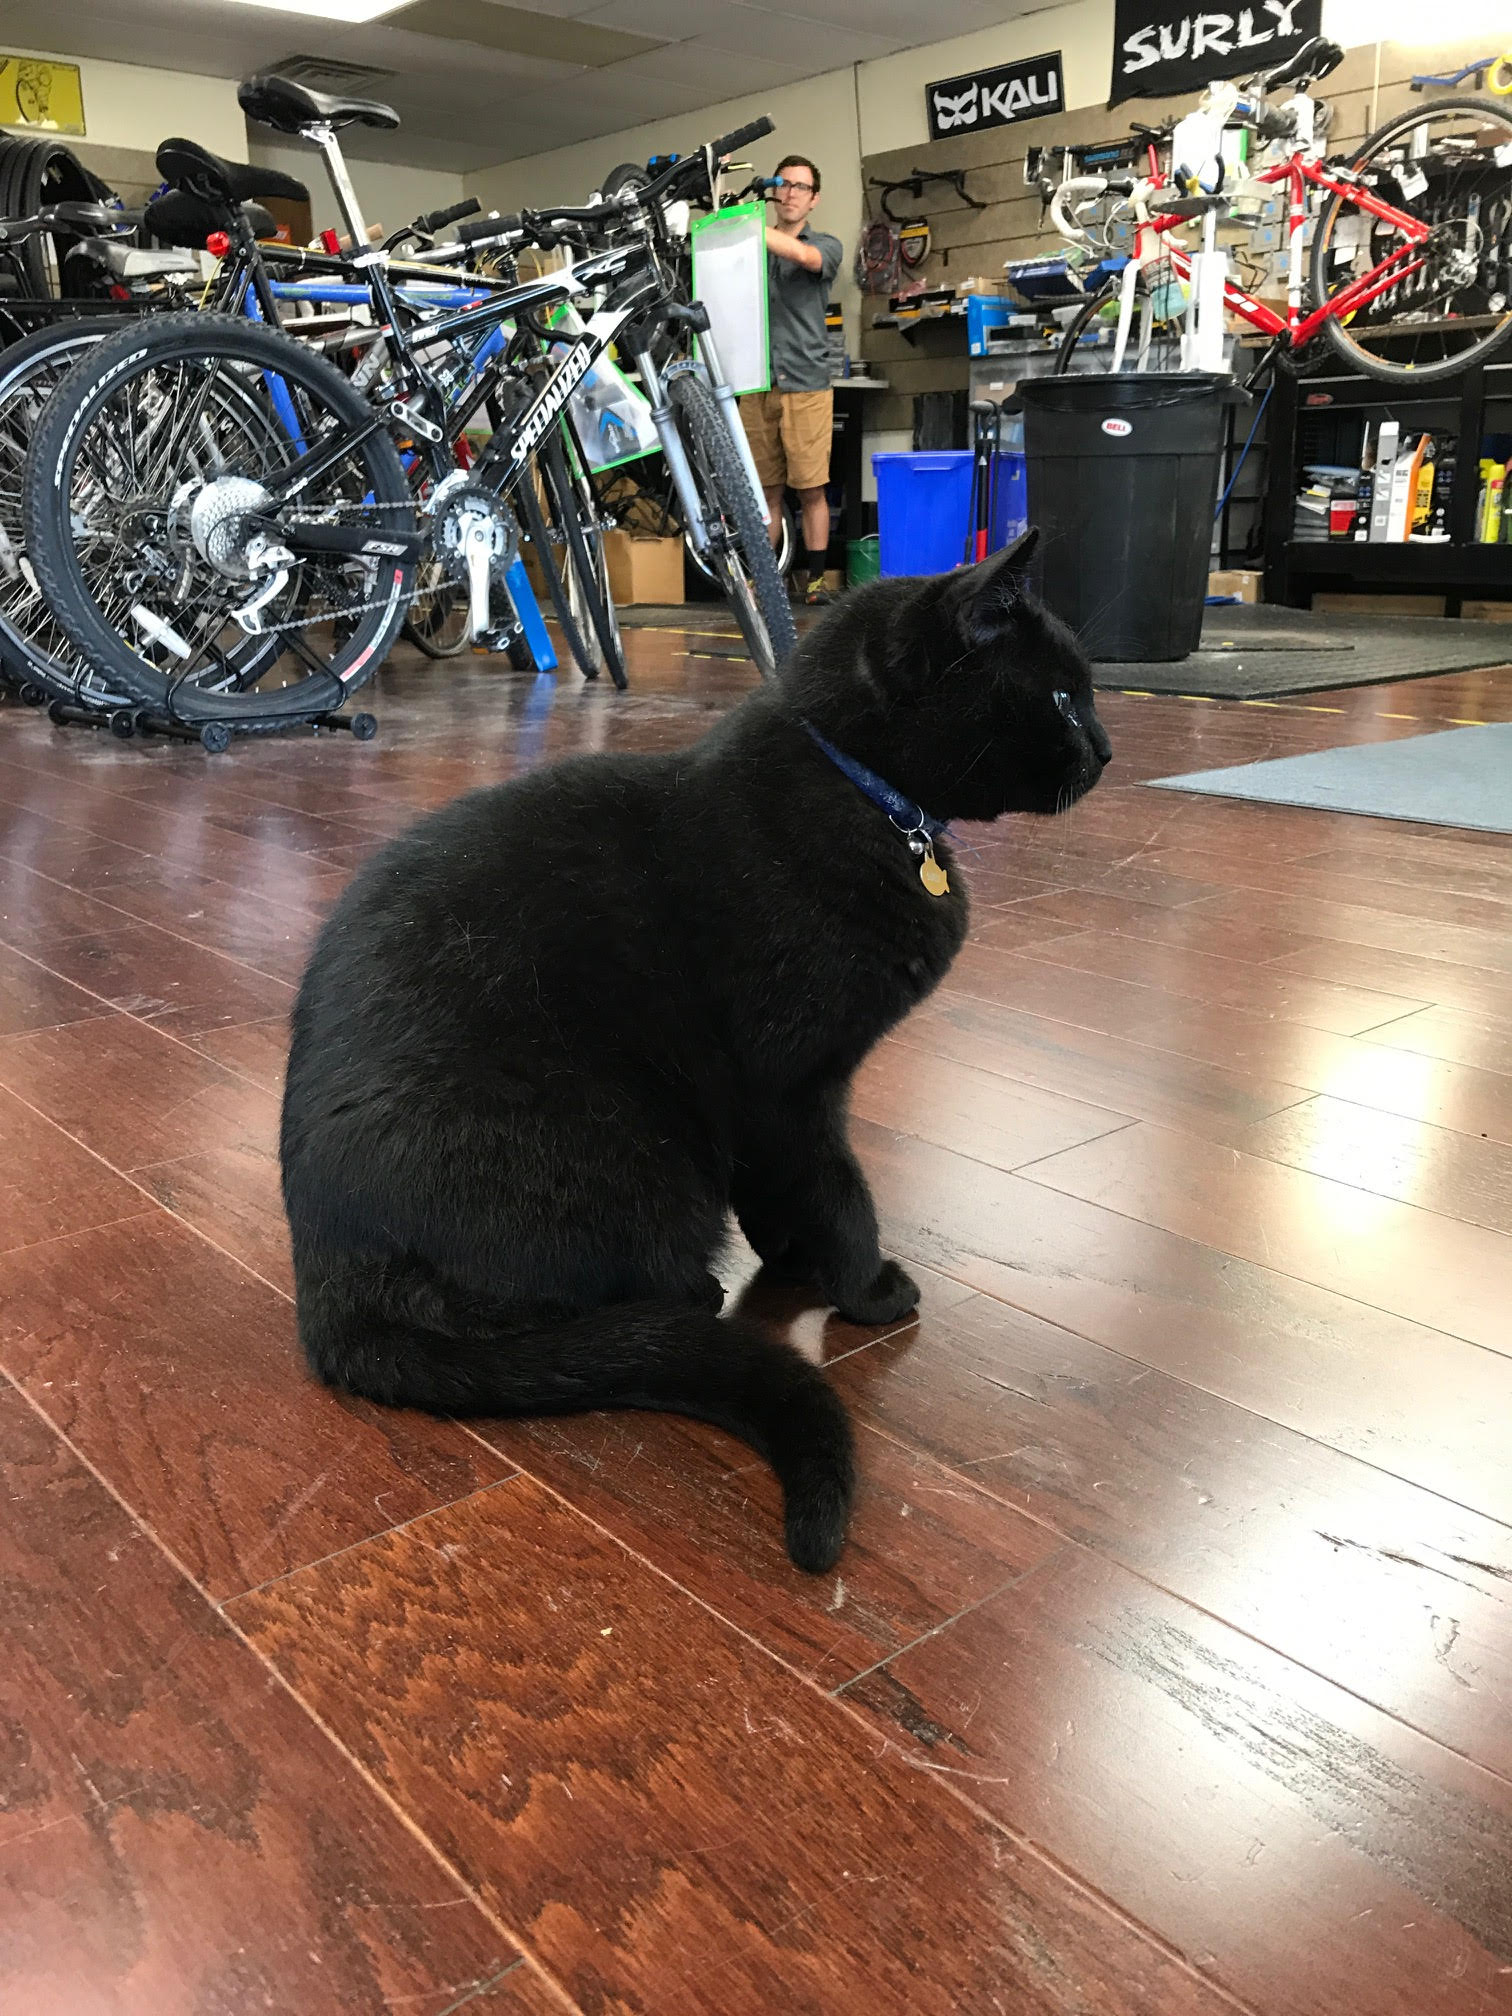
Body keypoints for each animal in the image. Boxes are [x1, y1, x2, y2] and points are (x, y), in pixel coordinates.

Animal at [282, 540, 1112, 1572]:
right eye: (1063, 698)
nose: (1107, 749)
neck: (864, 791)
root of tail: (325, 1292)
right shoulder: (792, 1089)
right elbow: (840, 1191)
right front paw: (867, 1289)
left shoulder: (766, 1112)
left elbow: (779, 1193)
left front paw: (794, 1262)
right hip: (631, 1156)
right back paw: (685, 1297)